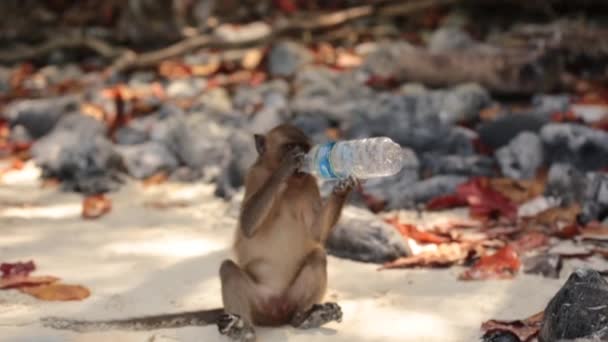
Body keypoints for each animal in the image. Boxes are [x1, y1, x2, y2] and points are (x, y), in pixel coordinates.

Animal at [41, 123, 356, 342]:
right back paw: (242, 327)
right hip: (258, 302)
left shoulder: (309, 184)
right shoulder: (255, 177)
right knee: (229, 269)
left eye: (305, 145)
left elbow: (316, 235)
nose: (303, 158)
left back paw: (304, 318)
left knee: (317, 256)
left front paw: (345, 184)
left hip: (287, 300)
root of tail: (276, 313)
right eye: (292, 146)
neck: (291, 186)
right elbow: (248, 224)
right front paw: (288, 166)